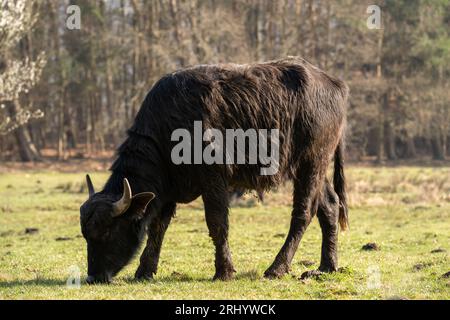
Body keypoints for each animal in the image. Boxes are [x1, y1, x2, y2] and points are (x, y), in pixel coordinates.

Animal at [80, 57, 348, 282]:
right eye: (85, 234)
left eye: (106, 231)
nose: (94, 277)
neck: (168, 131)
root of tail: (335, 85)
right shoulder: (168, 189)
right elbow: (158, 227)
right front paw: (145, 270)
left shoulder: (214, 179)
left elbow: (217, 223)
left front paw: (224, 271)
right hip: (315, 166)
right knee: (330, 205)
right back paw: (327, 266)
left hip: (311, 162)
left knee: (304, 212)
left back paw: (277, 268)